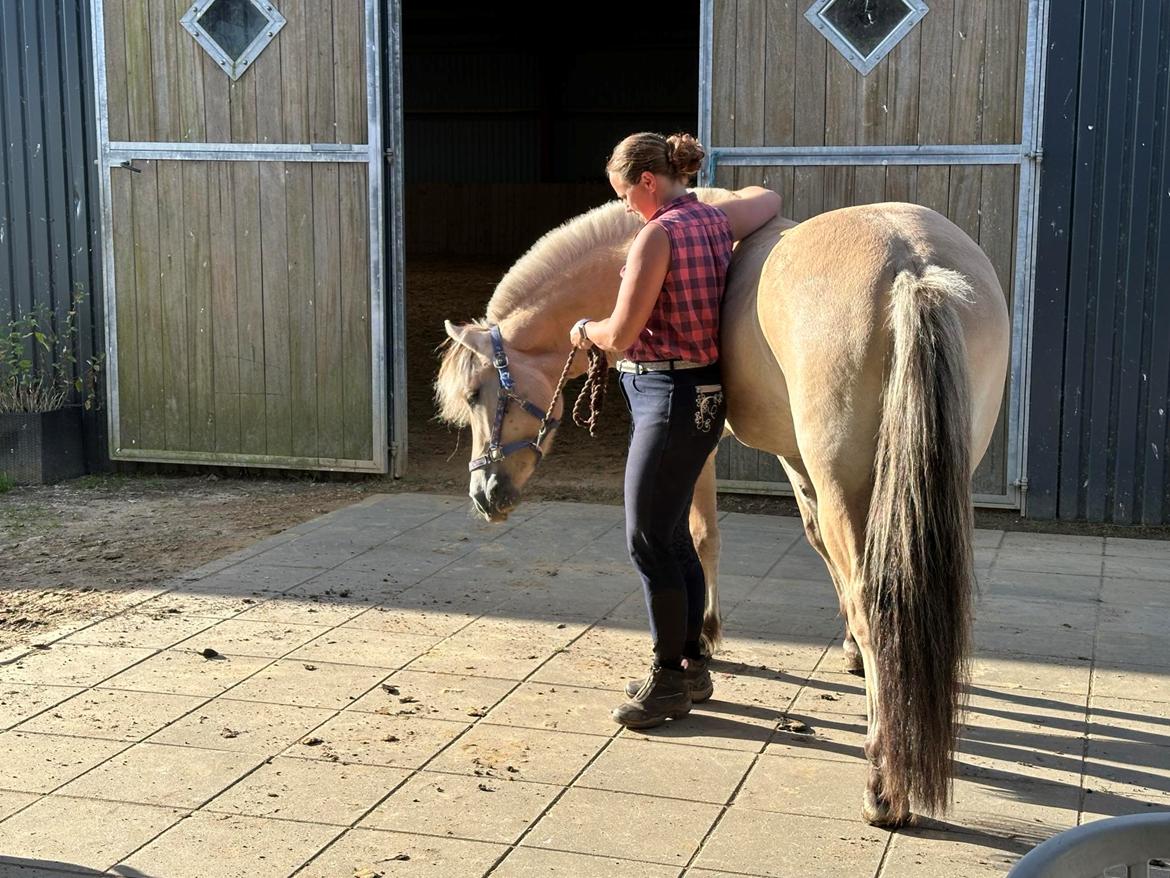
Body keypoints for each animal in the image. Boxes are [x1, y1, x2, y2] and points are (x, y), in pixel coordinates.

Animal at [435, 189, 1010, 828]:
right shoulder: (795, 459)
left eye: (477, 393)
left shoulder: (705, 450)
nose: (485, 495)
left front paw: (702, 641)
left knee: (876, 605)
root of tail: (912, 265)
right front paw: (848, 653)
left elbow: (700, 536)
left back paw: (884, 786)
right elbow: (817, 542)